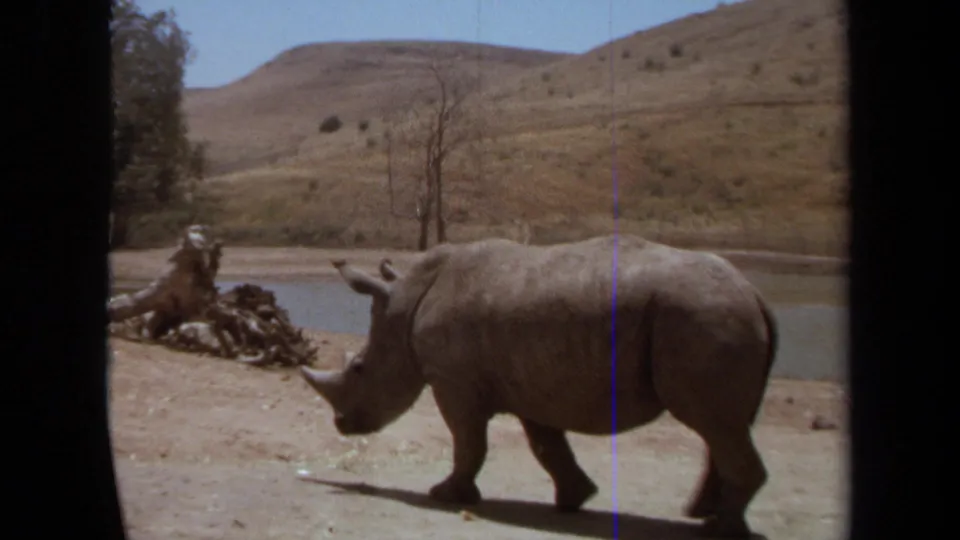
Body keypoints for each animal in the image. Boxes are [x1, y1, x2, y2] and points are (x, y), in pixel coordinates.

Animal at [301, 234, 778, 538]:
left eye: (359, 367)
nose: (342, 424)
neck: (404, 304)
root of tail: (755, 293)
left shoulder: (454, 382)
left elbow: (468, 440)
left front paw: (445, 495)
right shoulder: (529, 381)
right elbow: (545, 445)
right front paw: (573, 500)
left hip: (702, 316)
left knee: (712, 422)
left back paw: (720, 528)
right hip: (708, 317)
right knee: (721, 424)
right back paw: (699, 514)